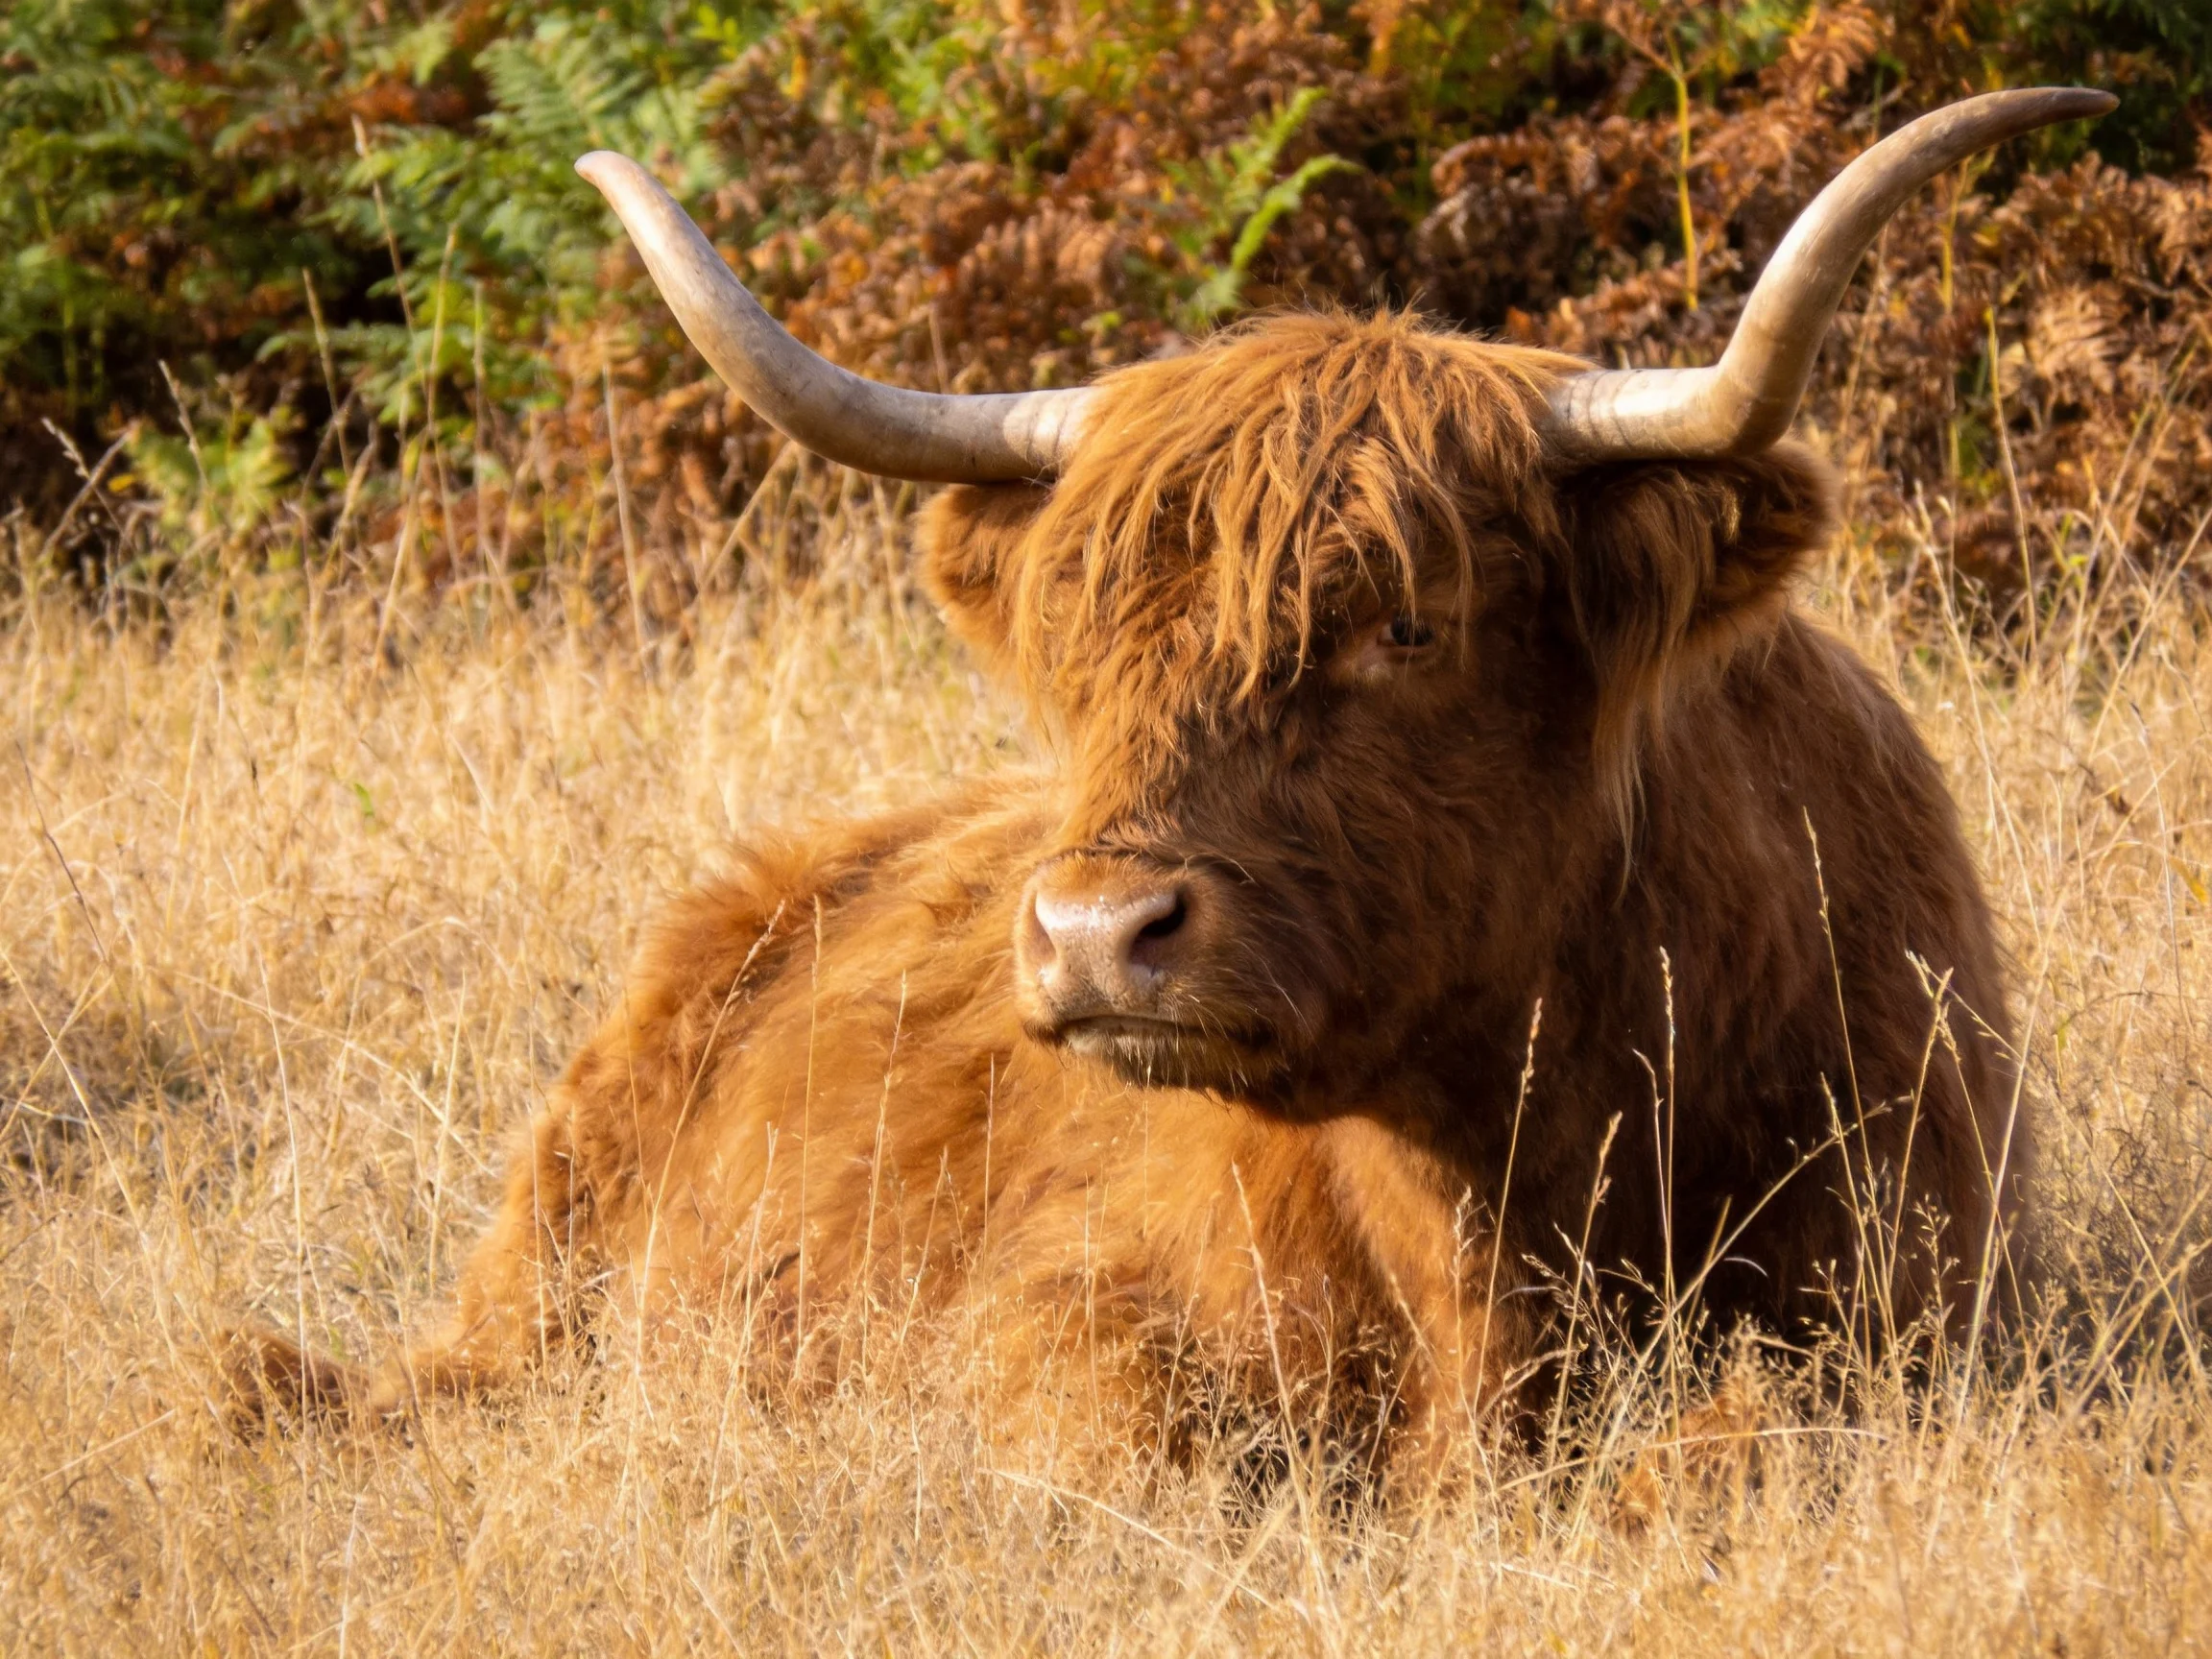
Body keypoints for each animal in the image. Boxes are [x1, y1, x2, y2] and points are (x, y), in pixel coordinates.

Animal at [231, 91, 2112, 1473]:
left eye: (1407, 621)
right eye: (1079, 644)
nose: (1088, 933)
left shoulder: (1927, 1310)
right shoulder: (1049, 1310)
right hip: (536, 1284)